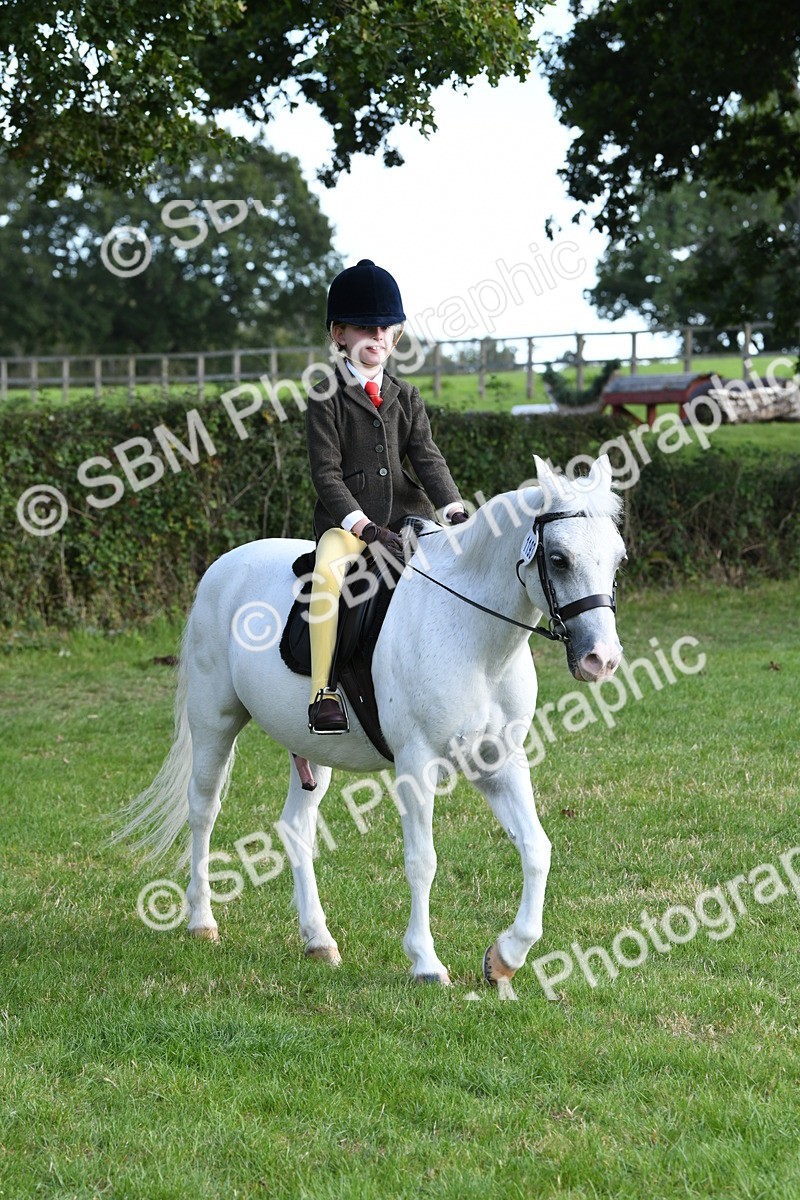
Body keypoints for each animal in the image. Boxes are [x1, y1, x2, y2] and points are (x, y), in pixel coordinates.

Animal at [117, 453, 626, 989]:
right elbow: (423, 861)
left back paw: (318, 940)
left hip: (314, 749)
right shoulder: (417, 763)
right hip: (215, 721)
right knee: (203, 811)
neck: (473, 635)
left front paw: (505, 956)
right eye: (559, 559)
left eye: (618, 559)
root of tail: (223, 567)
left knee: (296, 828)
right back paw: (202, 921)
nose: (601, 660)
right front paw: (426, 963)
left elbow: (536, 848)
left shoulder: (498, 760)